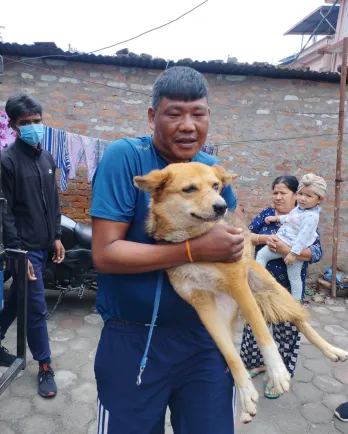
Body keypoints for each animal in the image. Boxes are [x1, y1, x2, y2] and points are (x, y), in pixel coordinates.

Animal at [134, 163, 348, 424]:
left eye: (216, 185)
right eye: (189, 189)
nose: (222, 206)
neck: (195, 243)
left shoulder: (238, 284)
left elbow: (263, 334)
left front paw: (277, 372)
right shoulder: (202, 304)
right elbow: (230, 354)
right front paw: (246, 393)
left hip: (270, 290)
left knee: (299, 320)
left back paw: (332, 351)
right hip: (232, 311)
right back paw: (245, 403)